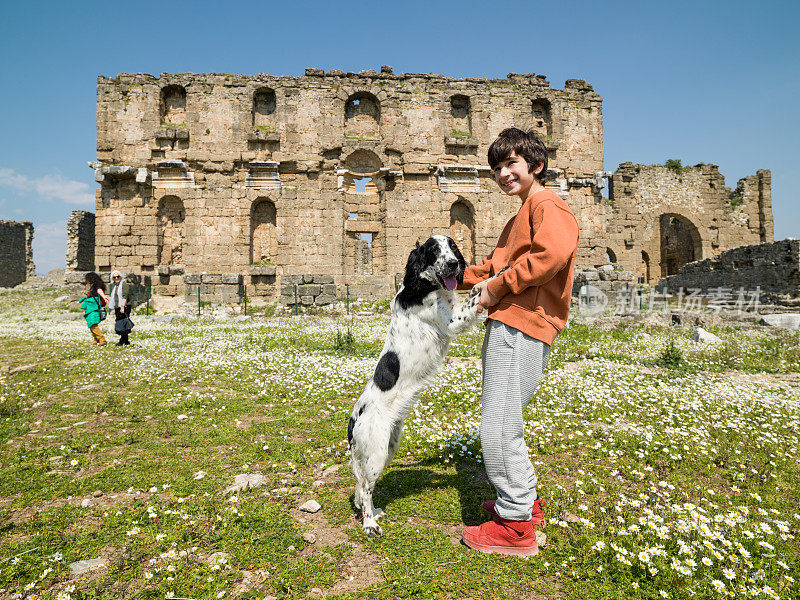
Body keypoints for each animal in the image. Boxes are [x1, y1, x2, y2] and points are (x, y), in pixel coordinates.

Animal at [350, 234, 488, 536]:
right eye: (434, 250)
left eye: (453, 247)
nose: (453, 263)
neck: (426, 284)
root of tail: (353, 421)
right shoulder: (453, 321)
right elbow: (474, 301)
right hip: (377, 452)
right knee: (365, 488)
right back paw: (369, 523)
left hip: (388, 448)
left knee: (363, 486)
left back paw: (373, 512)